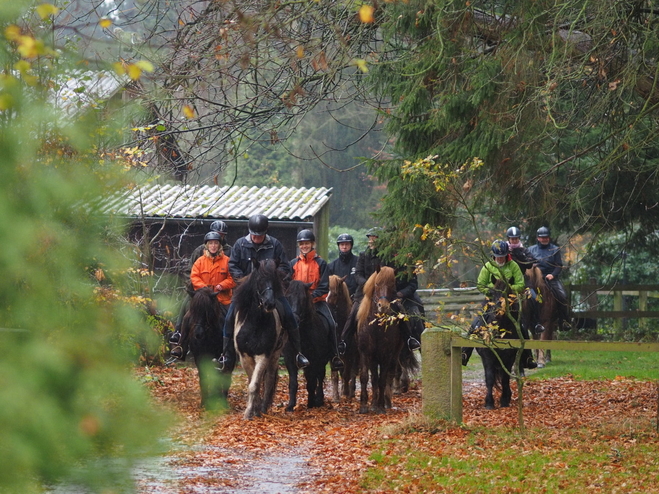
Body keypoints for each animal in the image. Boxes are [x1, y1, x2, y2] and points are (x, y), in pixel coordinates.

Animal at [232, 256, 286, 418]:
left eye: (274, 280)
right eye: (259, 280)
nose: (269, 304)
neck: (255, 323)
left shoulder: (264, 355)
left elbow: (255, 384)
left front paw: (252, 411)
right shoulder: (245, 356)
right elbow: (251, 381)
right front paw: (251, 410)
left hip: (275, 355)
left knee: (268, 380)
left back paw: (263, 407)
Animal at [284, 280, 336, 412]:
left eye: (303, 299)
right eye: (287, 297)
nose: (294, 320)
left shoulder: (314, 360)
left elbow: (312, 382)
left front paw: (311, 402)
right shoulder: (290, 360)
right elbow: (293, 383)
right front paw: (290, 406)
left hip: (322, 361)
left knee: (320, 377)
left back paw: (319, 399)